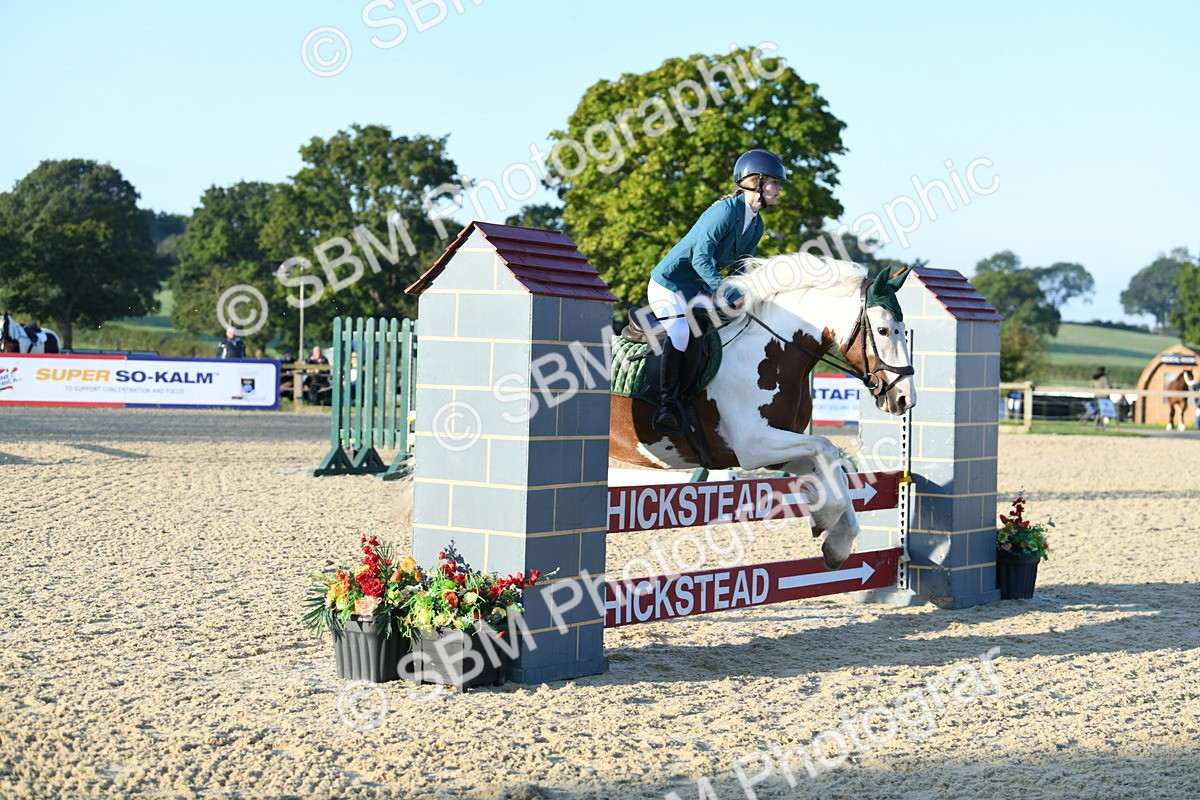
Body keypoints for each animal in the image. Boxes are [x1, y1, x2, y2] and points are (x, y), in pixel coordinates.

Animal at [609, 254, 917, 570]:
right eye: (883, 330)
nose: (905, 399)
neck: (773, 349)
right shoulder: (752, 446)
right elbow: (827, 448)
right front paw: (825, 518)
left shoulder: (778, 452)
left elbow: (833, 472)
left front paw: (836, 542)